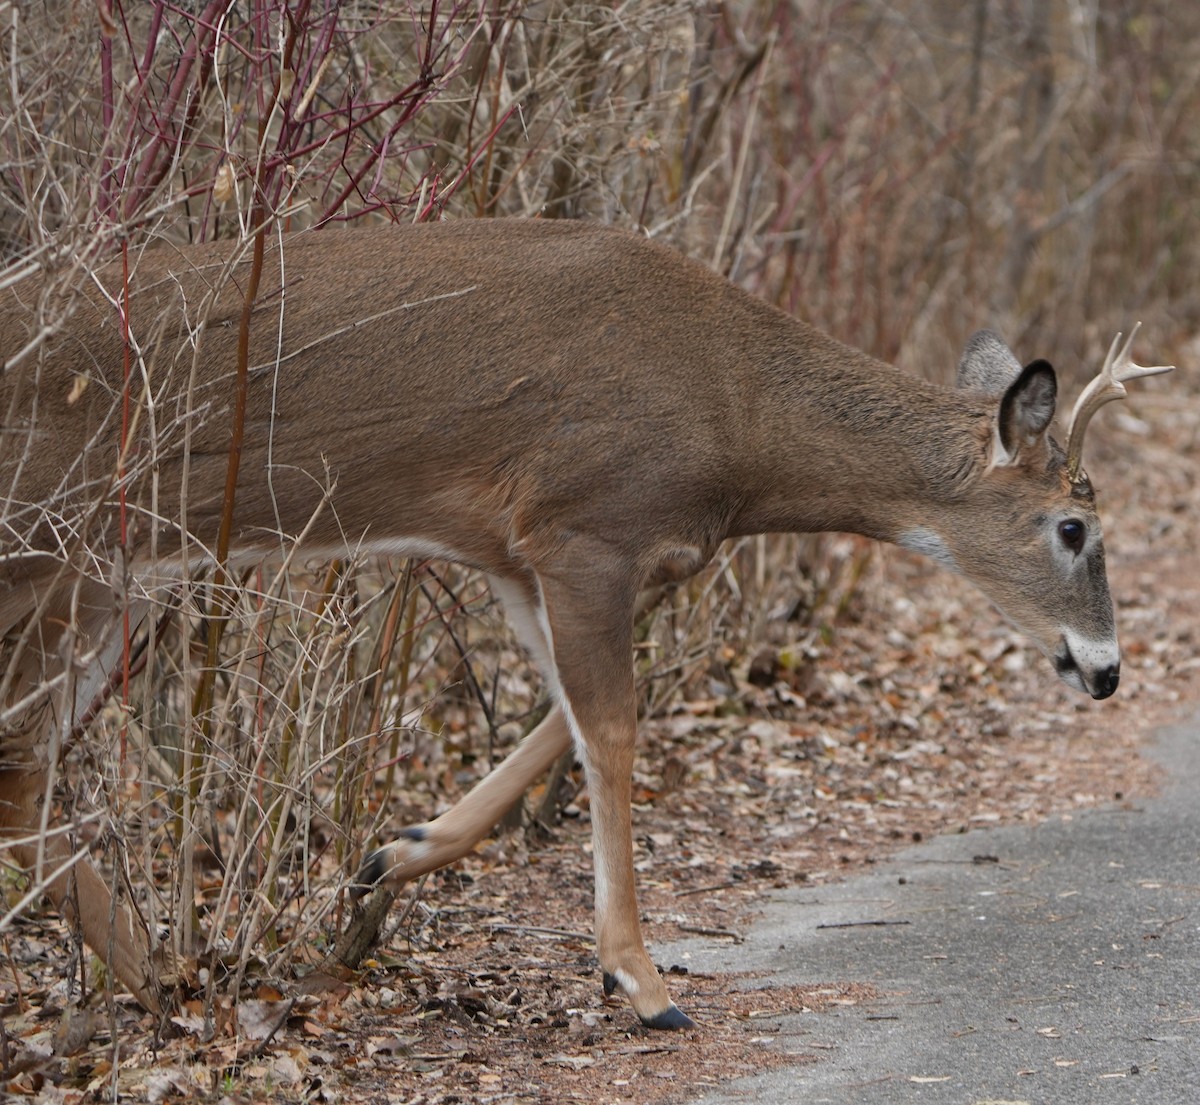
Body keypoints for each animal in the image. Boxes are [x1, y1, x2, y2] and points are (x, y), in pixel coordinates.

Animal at [0, 218, 1171, 1026]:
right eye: (1073, 526)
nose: (1108, 670)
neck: (736, 417)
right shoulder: (584, 525)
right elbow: (610, 731)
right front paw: (642, 978)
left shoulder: (532, 556)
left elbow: (560, 720)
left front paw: (395, 855)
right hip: (54, 556)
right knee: (19, 762)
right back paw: (160, 978)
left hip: (100, 581)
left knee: (26, 767)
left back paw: (164, 978)